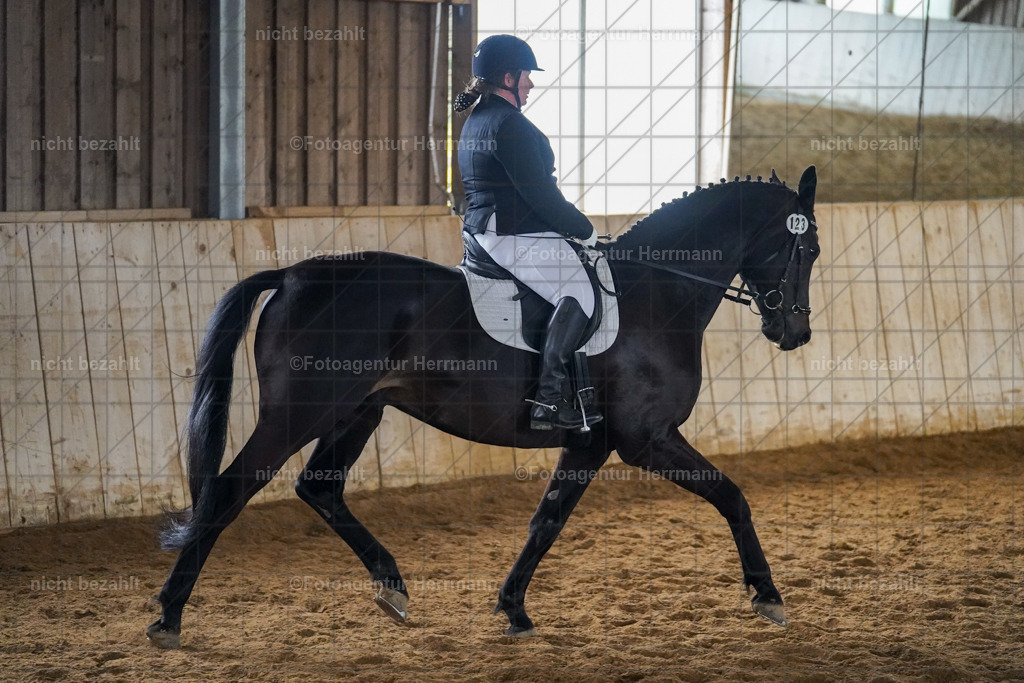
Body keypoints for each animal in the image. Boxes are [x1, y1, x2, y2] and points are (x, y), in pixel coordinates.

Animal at [146, 166, 821, 648]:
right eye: (808, 250)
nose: (795, 333)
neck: (656, 293)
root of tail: (290, 276)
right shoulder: (644, 438)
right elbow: (733, 496)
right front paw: (768, 596)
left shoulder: (590, 441)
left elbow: (547, 521)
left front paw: (513, 609)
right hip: (299, 412)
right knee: (229, 490)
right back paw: (169, 616)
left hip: (357, 411)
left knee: (319, 487)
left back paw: (392, 586)